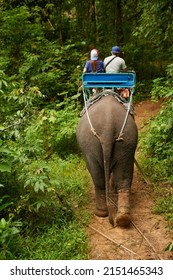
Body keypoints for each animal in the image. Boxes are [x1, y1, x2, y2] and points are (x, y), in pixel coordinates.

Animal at [76, 92, 139, 228]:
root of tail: (107, 125)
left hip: (90, 144)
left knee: (98, 178)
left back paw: (101, 213)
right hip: (127, 139)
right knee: (124, 174)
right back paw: (122, 218)